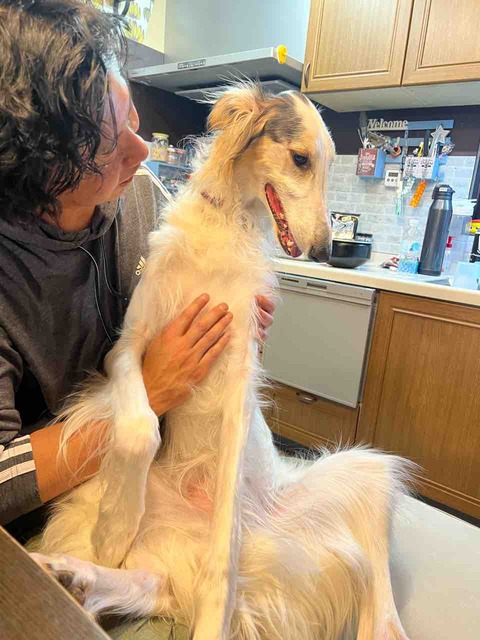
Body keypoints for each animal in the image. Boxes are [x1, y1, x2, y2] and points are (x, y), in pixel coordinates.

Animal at [32, 83, 412, 640]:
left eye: (330, 167)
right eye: (301, 159)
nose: (326, 251)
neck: (223, 225)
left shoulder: (238, 381)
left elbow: (223, 554)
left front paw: (213, 612)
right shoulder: (128, 346)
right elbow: (141, 428)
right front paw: (115, 528)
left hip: (367, 473)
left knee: (378, 605)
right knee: (145, 582)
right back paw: (71, 573)